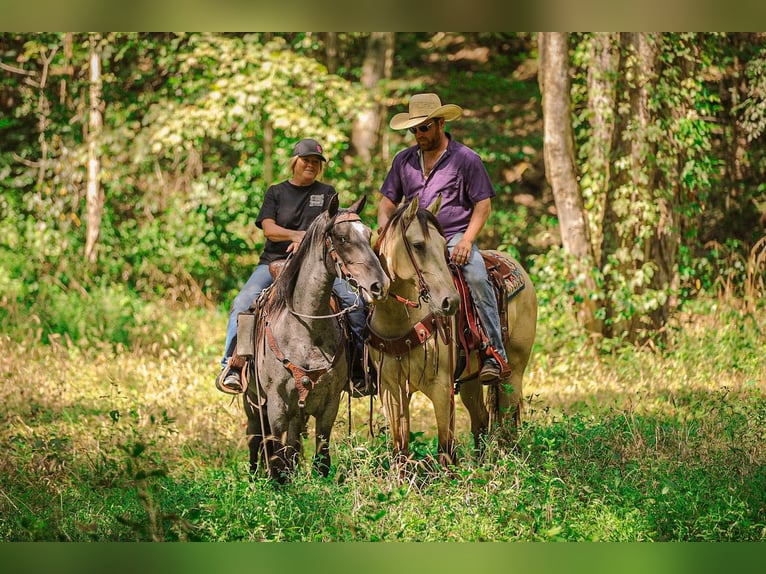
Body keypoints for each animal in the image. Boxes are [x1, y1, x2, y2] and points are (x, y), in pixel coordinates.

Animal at [241, 194, 389, 483]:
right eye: (342, 238)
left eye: (368, 234)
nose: (380, 285)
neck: (306, 329)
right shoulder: (276, 403)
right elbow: (275, 454)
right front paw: (277, 484)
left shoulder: (329, 402)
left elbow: (321, 455)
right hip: (252, 401)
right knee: (255, 438)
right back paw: (254, 476)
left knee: (292, 442)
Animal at [368, 196, 537, 471]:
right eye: (418, 245)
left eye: (443, 246)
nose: (451, 302)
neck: (399, 321)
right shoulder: (390, 389)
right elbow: (400, 451)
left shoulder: (441, 386)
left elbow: (445, 449)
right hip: (471, 379)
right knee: (480, 421)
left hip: (514, 374)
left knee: (508, 424)